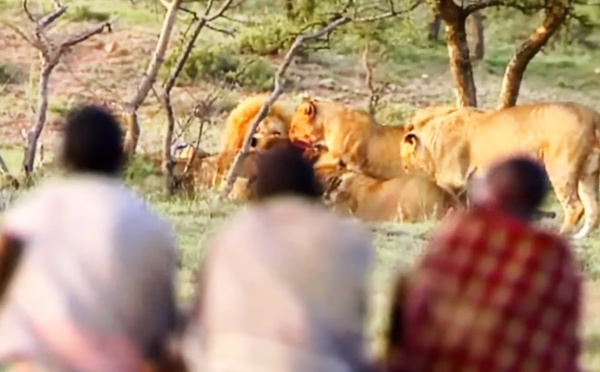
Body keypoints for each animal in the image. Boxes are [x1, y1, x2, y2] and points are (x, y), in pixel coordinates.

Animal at [400, 101, 600, 238]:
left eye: (405, 163)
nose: (404, 170)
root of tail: (593, 116)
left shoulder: (453, 180)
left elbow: (458, 205)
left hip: (560, 169)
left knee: (575, 207)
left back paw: (562, 236)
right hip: (588, 175)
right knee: (593, 209)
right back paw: (578, 238)